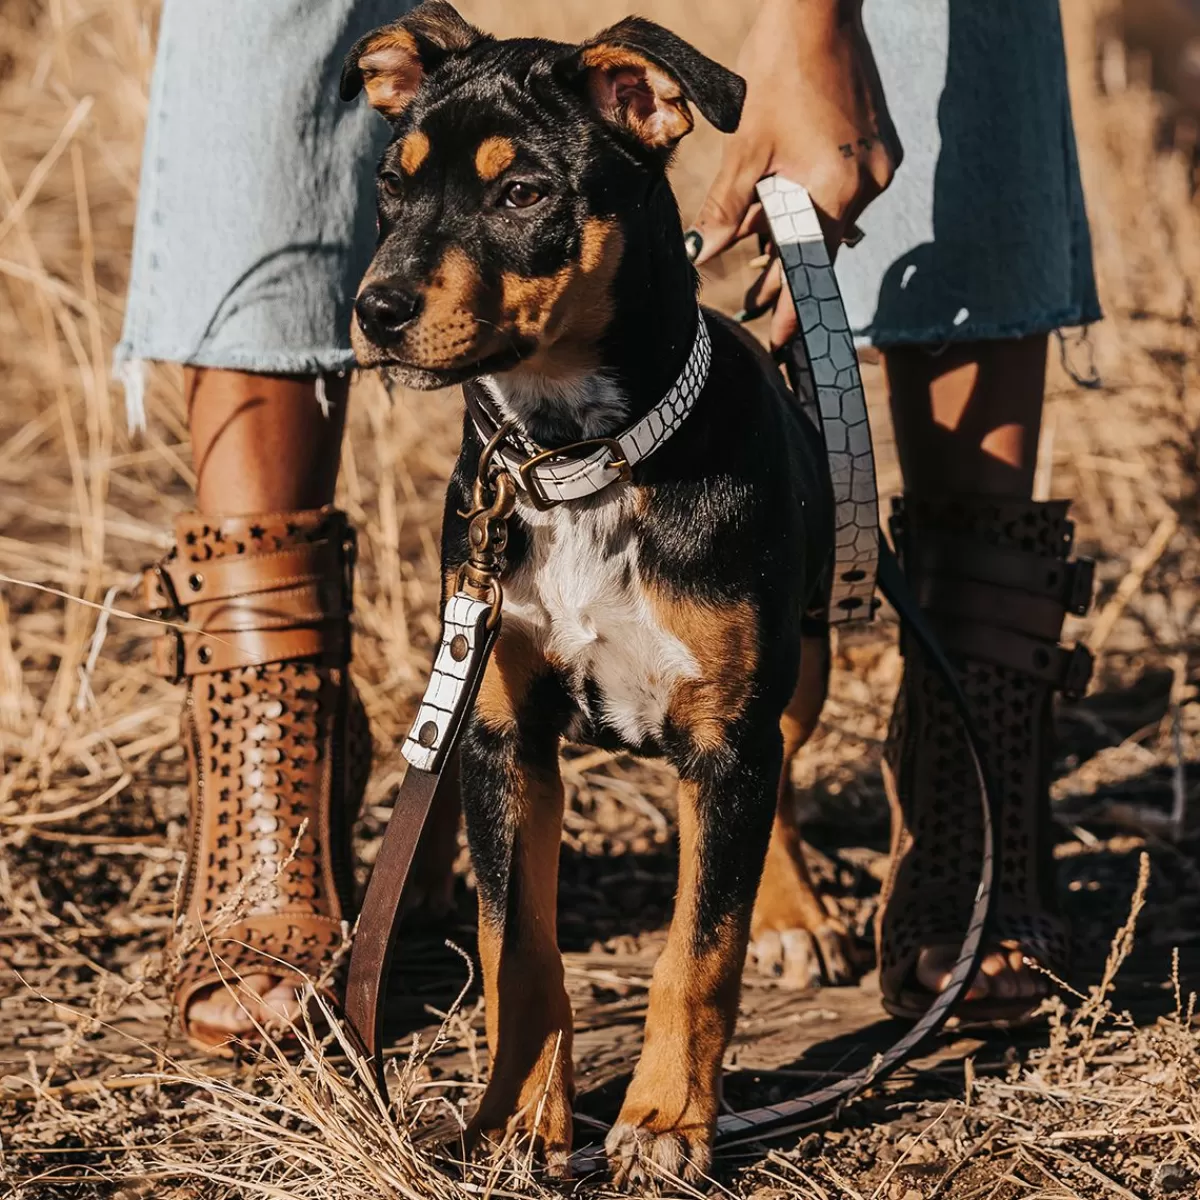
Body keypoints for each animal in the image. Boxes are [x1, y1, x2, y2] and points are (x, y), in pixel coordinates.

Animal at [343, 0, 854, 1180]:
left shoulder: (727, 731)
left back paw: (794, 909)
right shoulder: (501, 726)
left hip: (802, 662)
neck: (579, 461)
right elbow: (517, 945)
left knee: (780, 784)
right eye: (390, 184)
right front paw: (517, 1118)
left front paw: (665, 1122)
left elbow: (699, 949)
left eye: (524, 193)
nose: (376, 310)